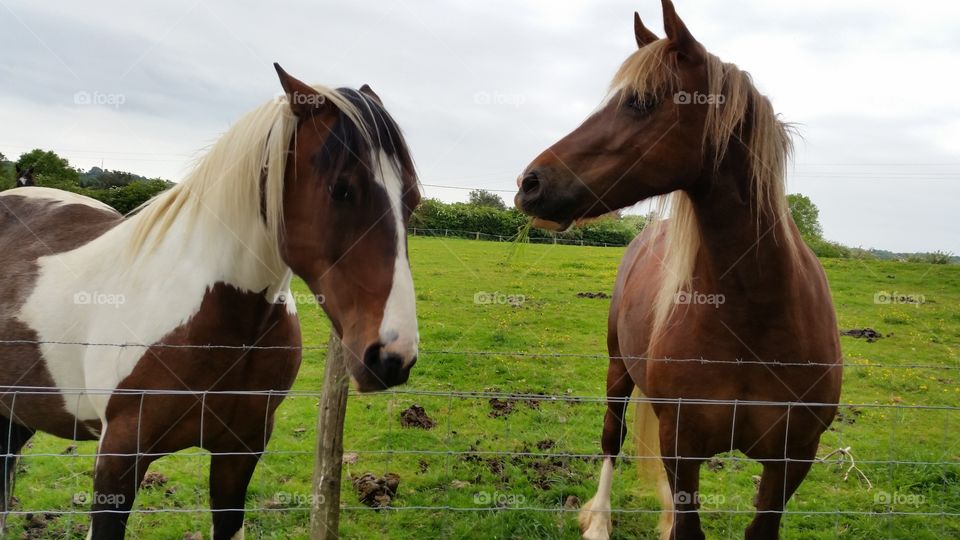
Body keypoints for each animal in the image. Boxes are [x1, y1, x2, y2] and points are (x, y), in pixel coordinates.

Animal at [515, 3, 842, 539]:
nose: (530, 183)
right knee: (612, 438)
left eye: (642, 101)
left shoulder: (793, 459)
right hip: (619, 372)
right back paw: (598, 521)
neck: (755, 314)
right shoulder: (682, 444)